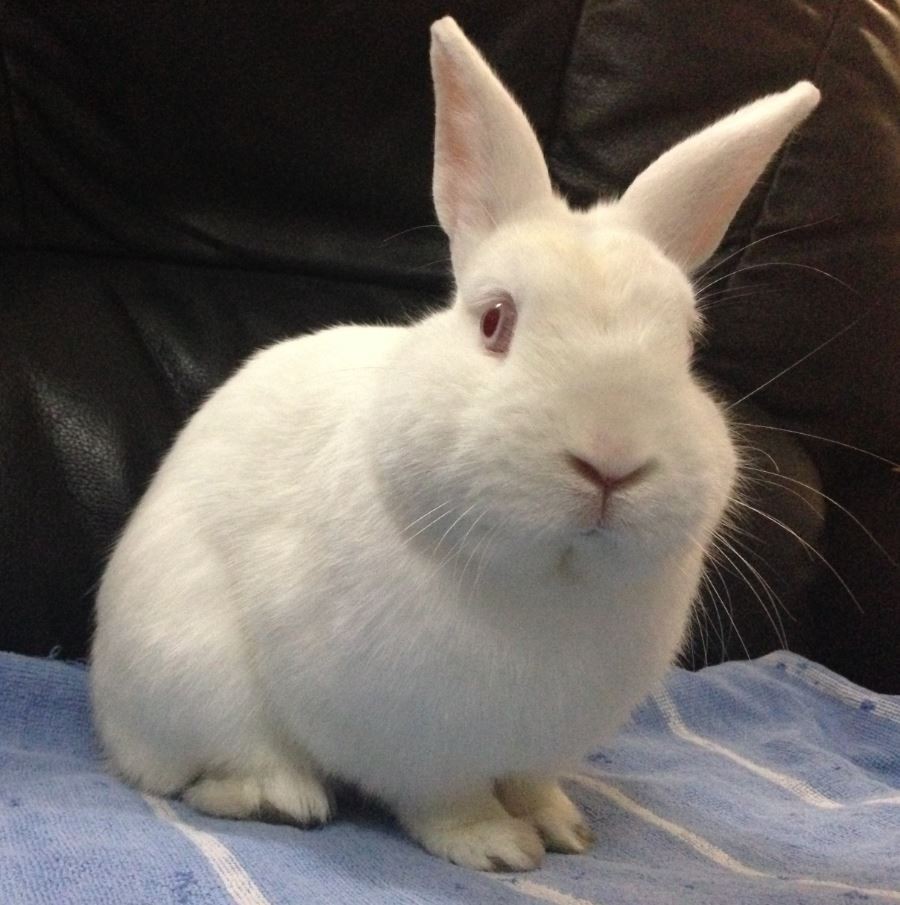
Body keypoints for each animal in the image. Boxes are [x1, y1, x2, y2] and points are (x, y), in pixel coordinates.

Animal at [90, 16, 819, 872]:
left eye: (689, 344)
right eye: (495, 320)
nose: (610, 461)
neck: (551, 585)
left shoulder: (539, 745)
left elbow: (533, 781)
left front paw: (563, 827)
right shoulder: (415, 742)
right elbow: (447, 798)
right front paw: (498, 848)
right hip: (191, 670)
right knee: (200, 767)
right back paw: (279, 796)